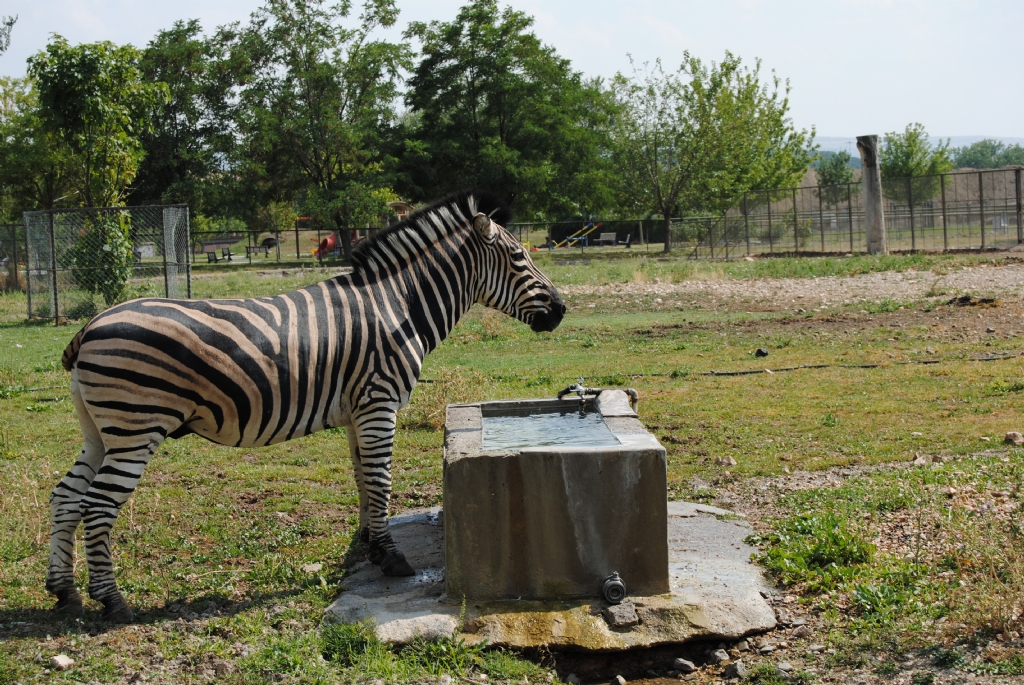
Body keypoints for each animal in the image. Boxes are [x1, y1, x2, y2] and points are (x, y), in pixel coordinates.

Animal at [48, 190, 565, 622]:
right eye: (519, 258)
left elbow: (362, 478)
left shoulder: (359, 410)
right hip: (136, 429)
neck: (400, 307)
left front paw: (369, 545)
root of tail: (89, 326)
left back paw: (64, 592)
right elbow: (381, 480)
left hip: (99, 431)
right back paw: (112, 602)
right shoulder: (379, 402)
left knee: (66, 496)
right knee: (97, 506)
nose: (561, 310)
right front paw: (392, 558)